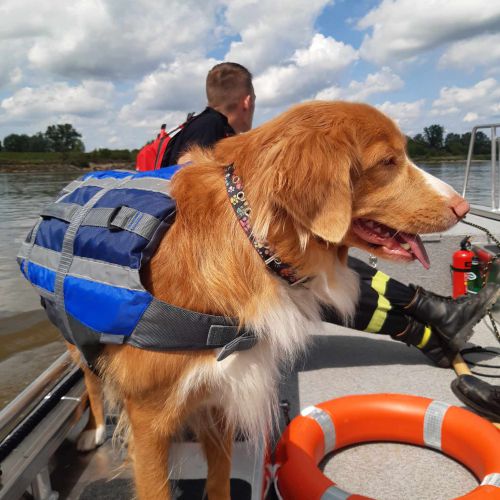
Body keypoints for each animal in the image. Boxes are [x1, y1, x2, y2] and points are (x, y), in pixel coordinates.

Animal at [70, 99, 468, 498]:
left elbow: (220, 479)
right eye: (388, 161)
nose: (463, 208)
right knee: (90, 379)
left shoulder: (223, 393)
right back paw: (94, 431)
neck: (251, 239)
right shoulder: (148, 420)